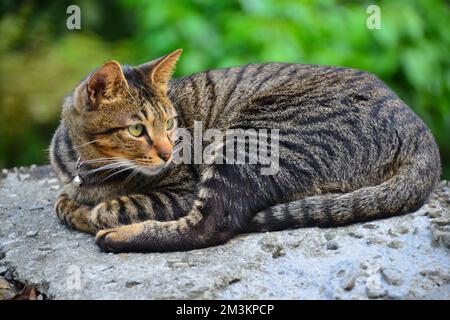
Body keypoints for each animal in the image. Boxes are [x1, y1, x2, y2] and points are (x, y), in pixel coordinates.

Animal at [49, 48, 440, 252]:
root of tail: (419, 129)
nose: (168, 152)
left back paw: (118, 238)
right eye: (136, 129)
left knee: (212, 224)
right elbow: (65, 201)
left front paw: (88, 212)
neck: (92, 169)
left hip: (250, 138)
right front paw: (73, 204)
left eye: (171, 123)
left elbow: (110, 208)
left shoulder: (181, 191)